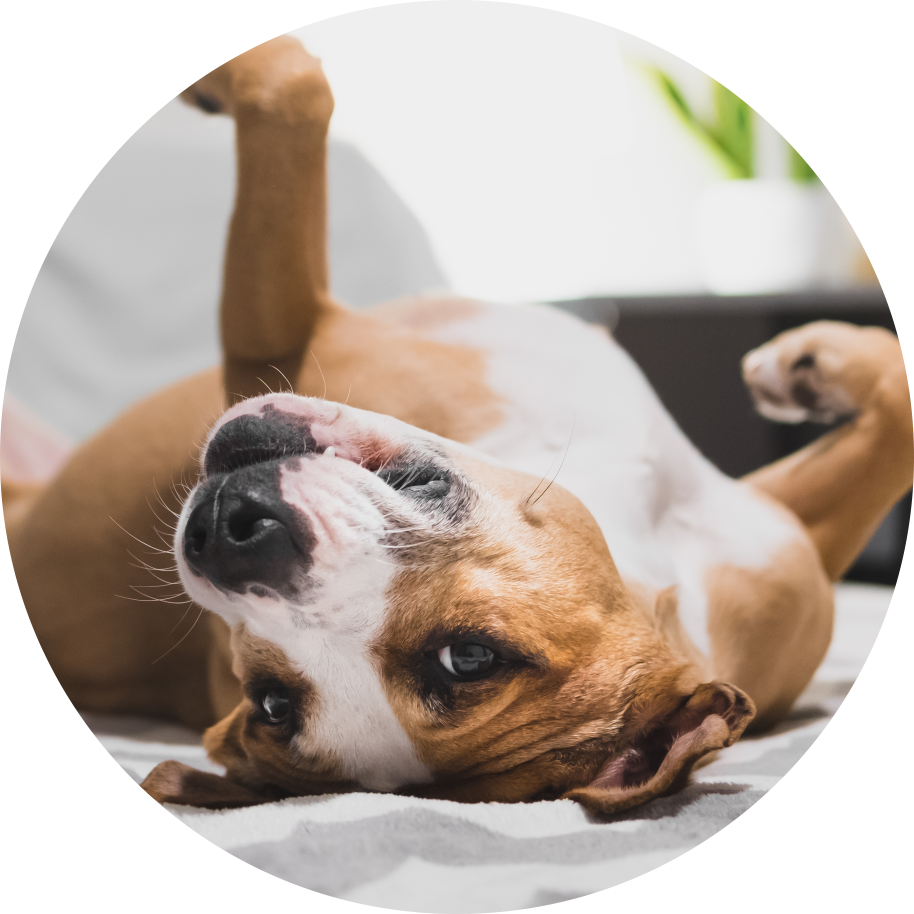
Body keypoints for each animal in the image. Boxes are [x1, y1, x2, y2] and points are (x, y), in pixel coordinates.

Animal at [4, 36, 913, 816]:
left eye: (468, 657)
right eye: (270, 700)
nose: (232, 535)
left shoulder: (275, 338)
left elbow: (293, 89)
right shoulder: (782, 550)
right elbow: (901, 416)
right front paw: (815, 363)